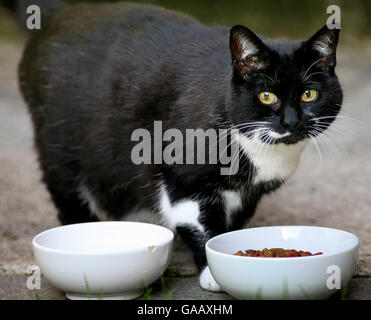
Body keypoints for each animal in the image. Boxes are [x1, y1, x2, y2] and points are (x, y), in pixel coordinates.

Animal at [4, 0, 344, 292]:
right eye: (266, 96)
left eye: (309, 94)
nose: (292, 121)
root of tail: (58, 14)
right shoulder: (182, 177)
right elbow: (202, 226)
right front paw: (214, 272)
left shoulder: (250, 193)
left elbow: (236, 225)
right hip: (58, 138)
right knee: (64, 183)